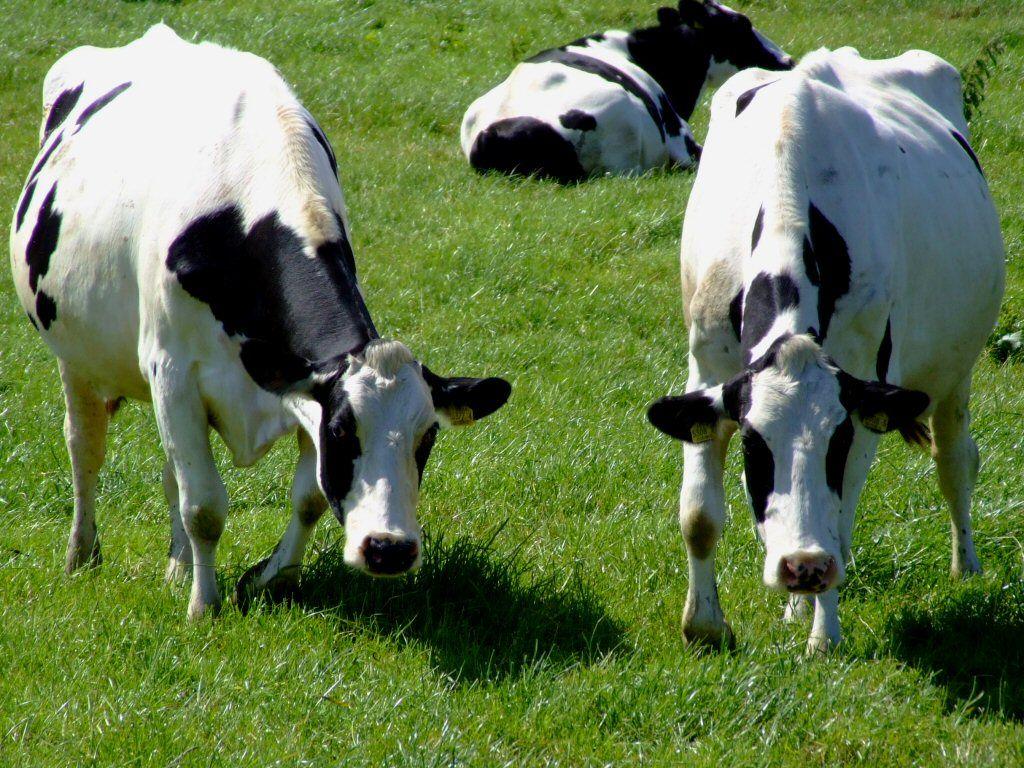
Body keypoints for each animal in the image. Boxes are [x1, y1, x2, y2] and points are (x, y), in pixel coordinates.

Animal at [9, 24, 511, 621]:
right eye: (344, 431)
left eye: (427, 435)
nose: (388, 549)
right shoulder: (175, 374)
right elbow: (205, 505)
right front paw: (204, 607)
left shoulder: (298, 384)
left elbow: (308, 495)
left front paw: (273, 577)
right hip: (76, 356)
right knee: (86, 449)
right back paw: (82, 555)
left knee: (170, 473)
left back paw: (176, 567)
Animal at [646, 47, 1005, 654]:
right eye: (754, 444)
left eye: (836, 441)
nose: (803, 567)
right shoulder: (708, 370)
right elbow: (698, 514)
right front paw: (705, 626)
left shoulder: (863, 394)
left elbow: (839, 520)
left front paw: (824, 638)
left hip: (957, 368)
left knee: (955, 459)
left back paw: (966, 568)